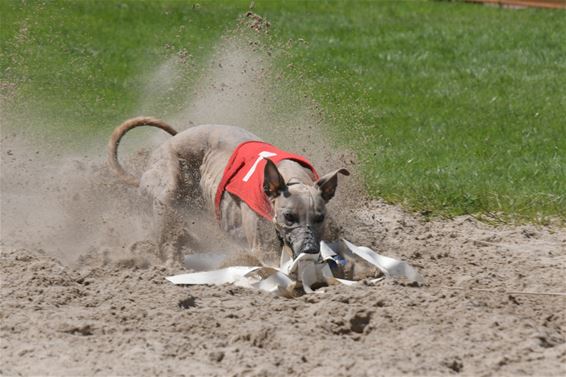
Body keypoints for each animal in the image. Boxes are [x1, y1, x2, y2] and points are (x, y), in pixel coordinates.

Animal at [107, 116, 350, 266]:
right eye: (289, 217)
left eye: (320, 217)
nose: (309, 248)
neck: (290, 179)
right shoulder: (258, 237)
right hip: (167, 186)